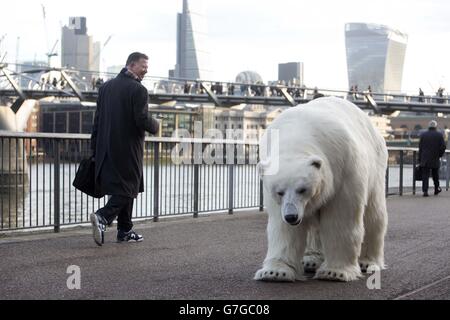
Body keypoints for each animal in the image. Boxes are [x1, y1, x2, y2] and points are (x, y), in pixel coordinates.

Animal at [255, 96, 388, 282]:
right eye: (279, 192)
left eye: (302, 189)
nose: (291, 216)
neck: (297, 135)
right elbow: (283, 227)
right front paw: (275, 272)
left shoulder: (343, 168)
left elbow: (341, 219)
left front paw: (335, 272)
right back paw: (311, 260)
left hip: (375, 166)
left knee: (373, 215)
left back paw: (368, 262)